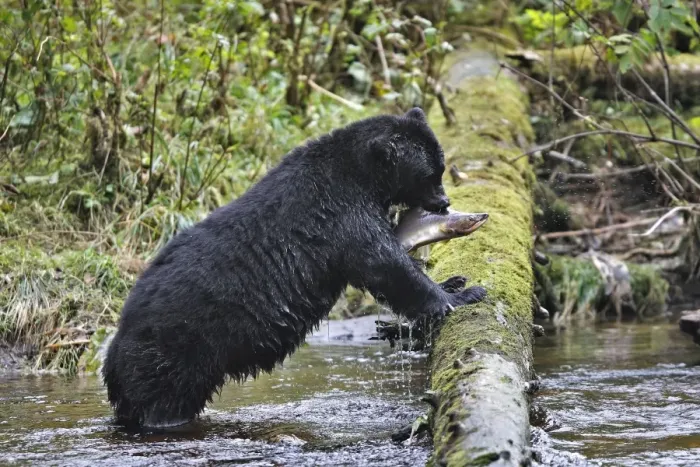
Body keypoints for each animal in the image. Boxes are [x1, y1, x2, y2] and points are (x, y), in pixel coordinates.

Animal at [102, 107, 487, 428]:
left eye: (440, 165)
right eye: (430, 174)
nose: (444, 201)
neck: (362, 174)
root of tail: (116, 345)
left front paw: (454, 281)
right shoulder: (340, 213)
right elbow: (384, 263)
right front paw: (465, 294)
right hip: (175, 352)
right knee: (165, 401)